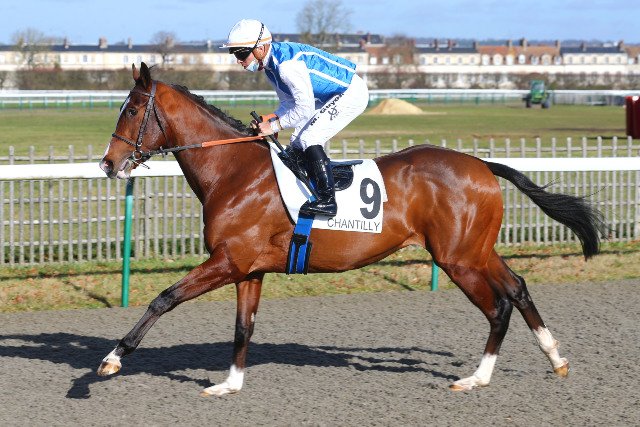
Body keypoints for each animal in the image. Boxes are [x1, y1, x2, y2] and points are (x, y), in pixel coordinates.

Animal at [98, 63, 605, 396]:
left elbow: (165, 297)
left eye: (131, 110)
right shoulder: (248, 269)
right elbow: (244, 327)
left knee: (498, 306)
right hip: (475, 250)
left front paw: (111, 359)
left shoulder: (227, 261)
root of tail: (481, 163)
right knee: (517, 287)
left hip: (458, 258)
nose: (108, 164)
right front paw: (230, 384)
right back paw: (555, 357)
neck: (234, 171)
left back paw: (477, 377)